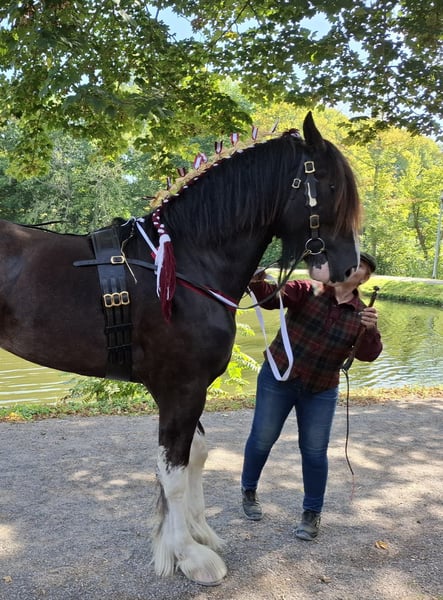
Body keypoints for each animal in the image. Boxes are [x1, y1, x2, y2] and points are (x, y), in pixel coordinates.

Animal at [0, 112, 361, 585]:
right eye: (332, 186)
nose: (350, 270)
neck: (187, 262)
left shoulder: (192, 388)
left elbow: (195, 457)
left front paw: (198, 532)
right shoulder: (180, 388)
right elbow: (171, 471)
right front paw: (188, 557)